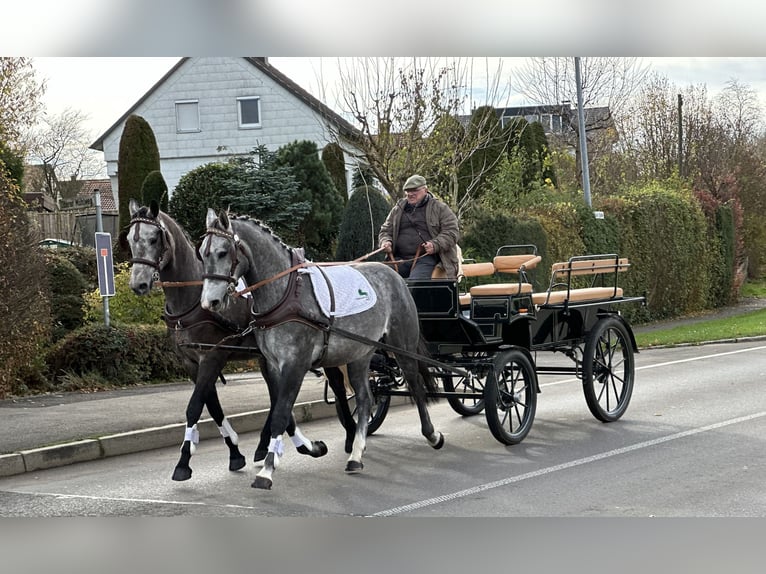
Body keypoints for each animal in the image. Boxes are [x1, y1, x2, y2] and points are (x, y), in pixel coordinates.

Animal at [124, 200, 340, 484]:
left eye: (153, 238)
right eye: (129, 240)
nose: (138, 283)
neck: (193, 298)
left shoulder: (213, 357)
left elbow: (195, 406)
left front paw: (183, 461)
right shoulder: (191, 362)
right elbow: (212, 406)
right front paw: (234, 451)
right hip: (266, 358)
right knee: (277, 398)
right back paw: (267, 446)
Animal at [198, 209, 448, 492]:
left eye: (222, 252)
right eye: (202, 253)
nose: (209, 302)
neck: (286, 292)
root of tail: (393, 274)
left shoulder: (296, 364)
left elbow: (280, 414)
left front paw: (266, 471)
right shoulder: (273, 365)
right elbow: (282, 413)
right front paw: (304, 450)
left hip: (402, 344)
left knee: (415, 384)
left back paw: (431, 434)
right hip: (360, 354)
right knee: (365, 398)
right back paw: (356, 454)